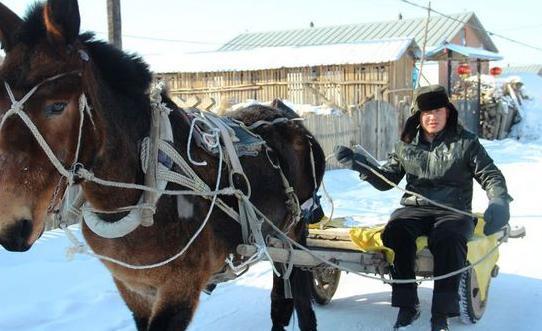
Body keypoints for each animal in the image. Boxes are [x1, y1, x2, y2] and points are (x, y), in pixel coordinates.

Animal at [0, 0, 326, 331]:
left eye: (57, 106)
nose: (11, 226)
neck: (143, 194)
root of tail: (285, 114)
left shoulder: (180, 288)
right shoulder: (133, 287)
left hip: (294, 233)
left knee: (296, 294)